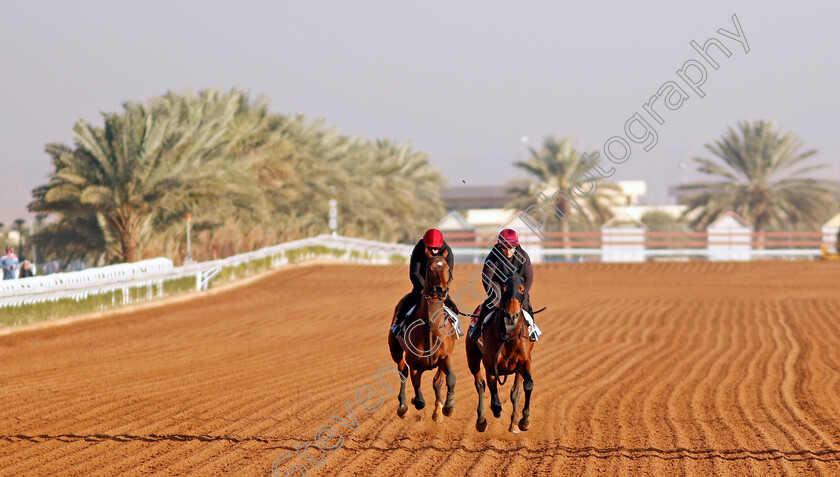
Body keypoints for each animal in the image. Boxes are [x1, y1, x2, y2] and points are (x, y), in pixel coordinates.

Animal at [388, 247, 460, 422]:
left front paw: (447, 407)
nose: (441, 291)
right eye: (429, 268)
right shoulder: (414, 364)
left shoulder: (445, 356)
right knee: (402, 372)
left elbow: (449, 378)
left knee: (437, 381)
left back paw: (438, 410)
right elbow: (420, 399)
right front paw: (413, 401)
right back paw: (403, 406)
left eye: (448, 268)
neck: (430, 328)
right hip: (395, 350)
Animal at [462, 272, 536, 432]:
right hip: (472, 358)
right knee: (480, 384)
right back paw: (481, 420)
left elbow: (527, 385)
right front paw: (496, 412)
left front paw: (524, 420)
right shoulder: (490, 366)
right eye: (503, 289)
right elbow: (494, 400)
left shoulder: (525, 361)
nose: (511, 316)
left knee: (515, 391)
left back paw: (514, 422)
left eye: (522, 289)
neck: (508, 337)